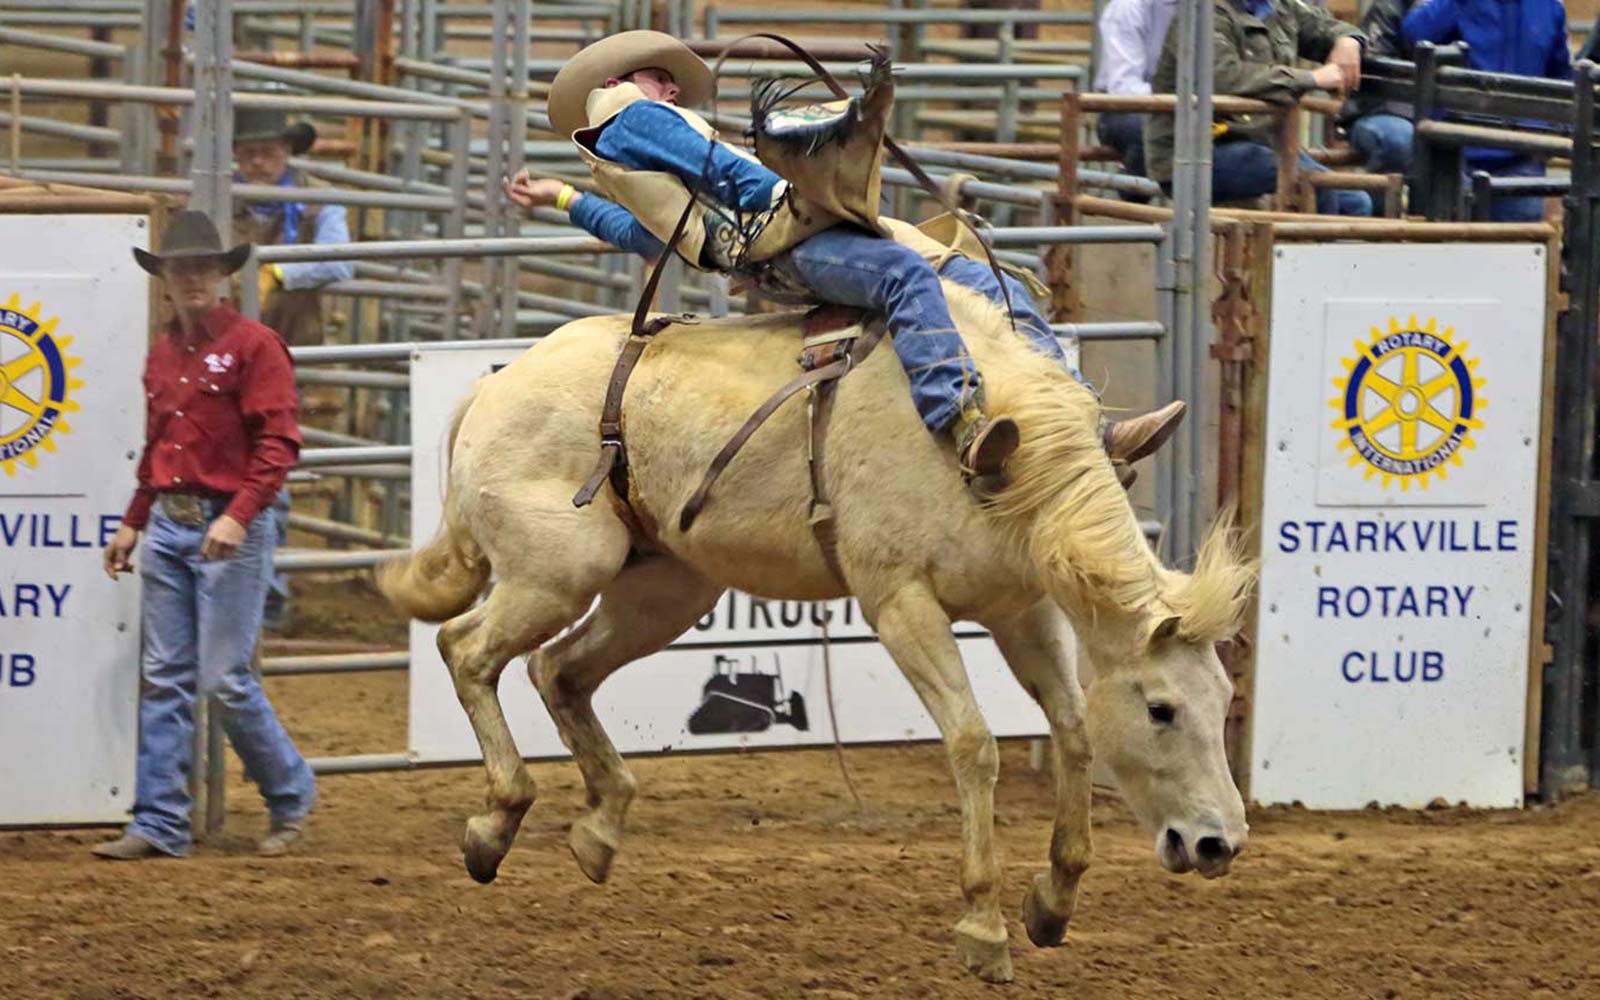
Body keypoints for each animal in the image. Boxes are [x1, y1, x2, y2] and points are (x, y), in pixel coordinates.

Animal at [377, 278, 1256, 984]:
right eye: (1162, 710)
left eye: (1223, 698)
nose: (1220, 845)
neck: (991, 453)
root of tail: (497, 387)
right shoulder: (898, 600)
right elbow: (974, 744)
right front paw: (983, 925)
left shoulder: (1022, 607)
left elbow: (1072, 727)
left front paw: (1054, 898)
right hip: (555, 575)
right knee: (468, 650)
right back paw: (497, 820)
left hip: (666, 586)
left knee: (560, 669)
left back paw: (600, 826)